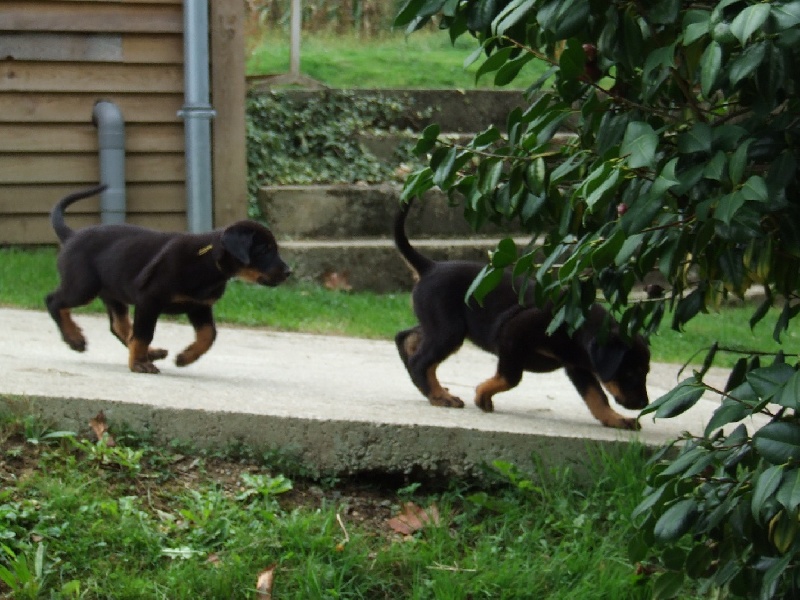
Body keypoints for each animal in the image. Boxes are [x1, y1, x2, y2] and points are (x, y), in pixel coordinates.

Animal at [46, 185, 290, 372]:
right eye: (264, 250)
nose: (288, 272)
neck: (208, 262)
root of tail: (72, 235)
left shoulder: (199, 306)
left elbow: (209, 335)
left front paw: (186, 357)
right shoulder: (149, 300)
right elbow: (144, 334)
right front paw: (139, 364)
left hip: (112, 292)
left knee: (118, 325)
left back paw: (152, 353)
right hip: (83, 286)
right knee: (53, 301)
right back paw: (75, 338)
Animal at [394, 199, 648, 428]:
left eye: (645, 372)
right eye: (630, 373)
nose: (643, 404)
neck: (577, 329)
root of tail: (430, 267)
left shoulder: (578, 366)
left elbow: (596, 396)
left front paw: (615, 419)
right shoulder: (512, 336)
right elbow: (511, 378)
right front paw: (482, 394)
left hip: (439, 324)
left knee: (406, 338)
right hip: (449, 330)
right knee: (420, 360)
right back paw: (439, 396)